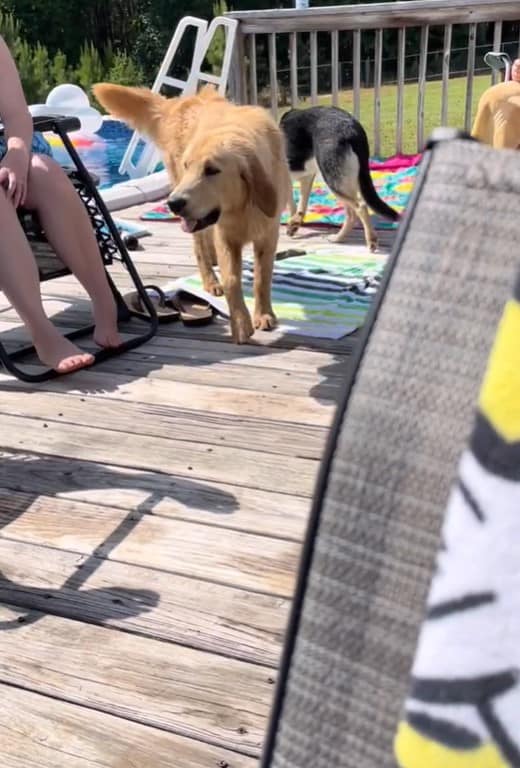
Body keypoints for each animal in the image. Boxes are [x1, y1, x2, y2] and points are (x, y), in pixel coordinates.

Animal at [92, 82, 288, 342]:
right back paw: (210, 279)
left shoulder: (268, 233)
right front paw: (240, 322)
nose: (173, 203)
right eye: (188, 166)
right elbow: (231, 279)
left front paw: (264, 314)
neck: (242, 207)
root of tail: (180, 102)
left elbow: (262, 277)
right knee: (199, 246)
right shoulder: (226, 235)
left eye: (212, 170)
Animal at [280, 106, 398, 252]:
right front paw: (294, 222)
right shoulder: (305, 177)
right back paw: (339, 238)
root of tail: (352, 130)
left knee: (359, 207)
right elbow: (298, 203)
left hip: (332, 180)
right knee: (352, 213)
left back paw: (368, 239)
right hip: (346, 182)